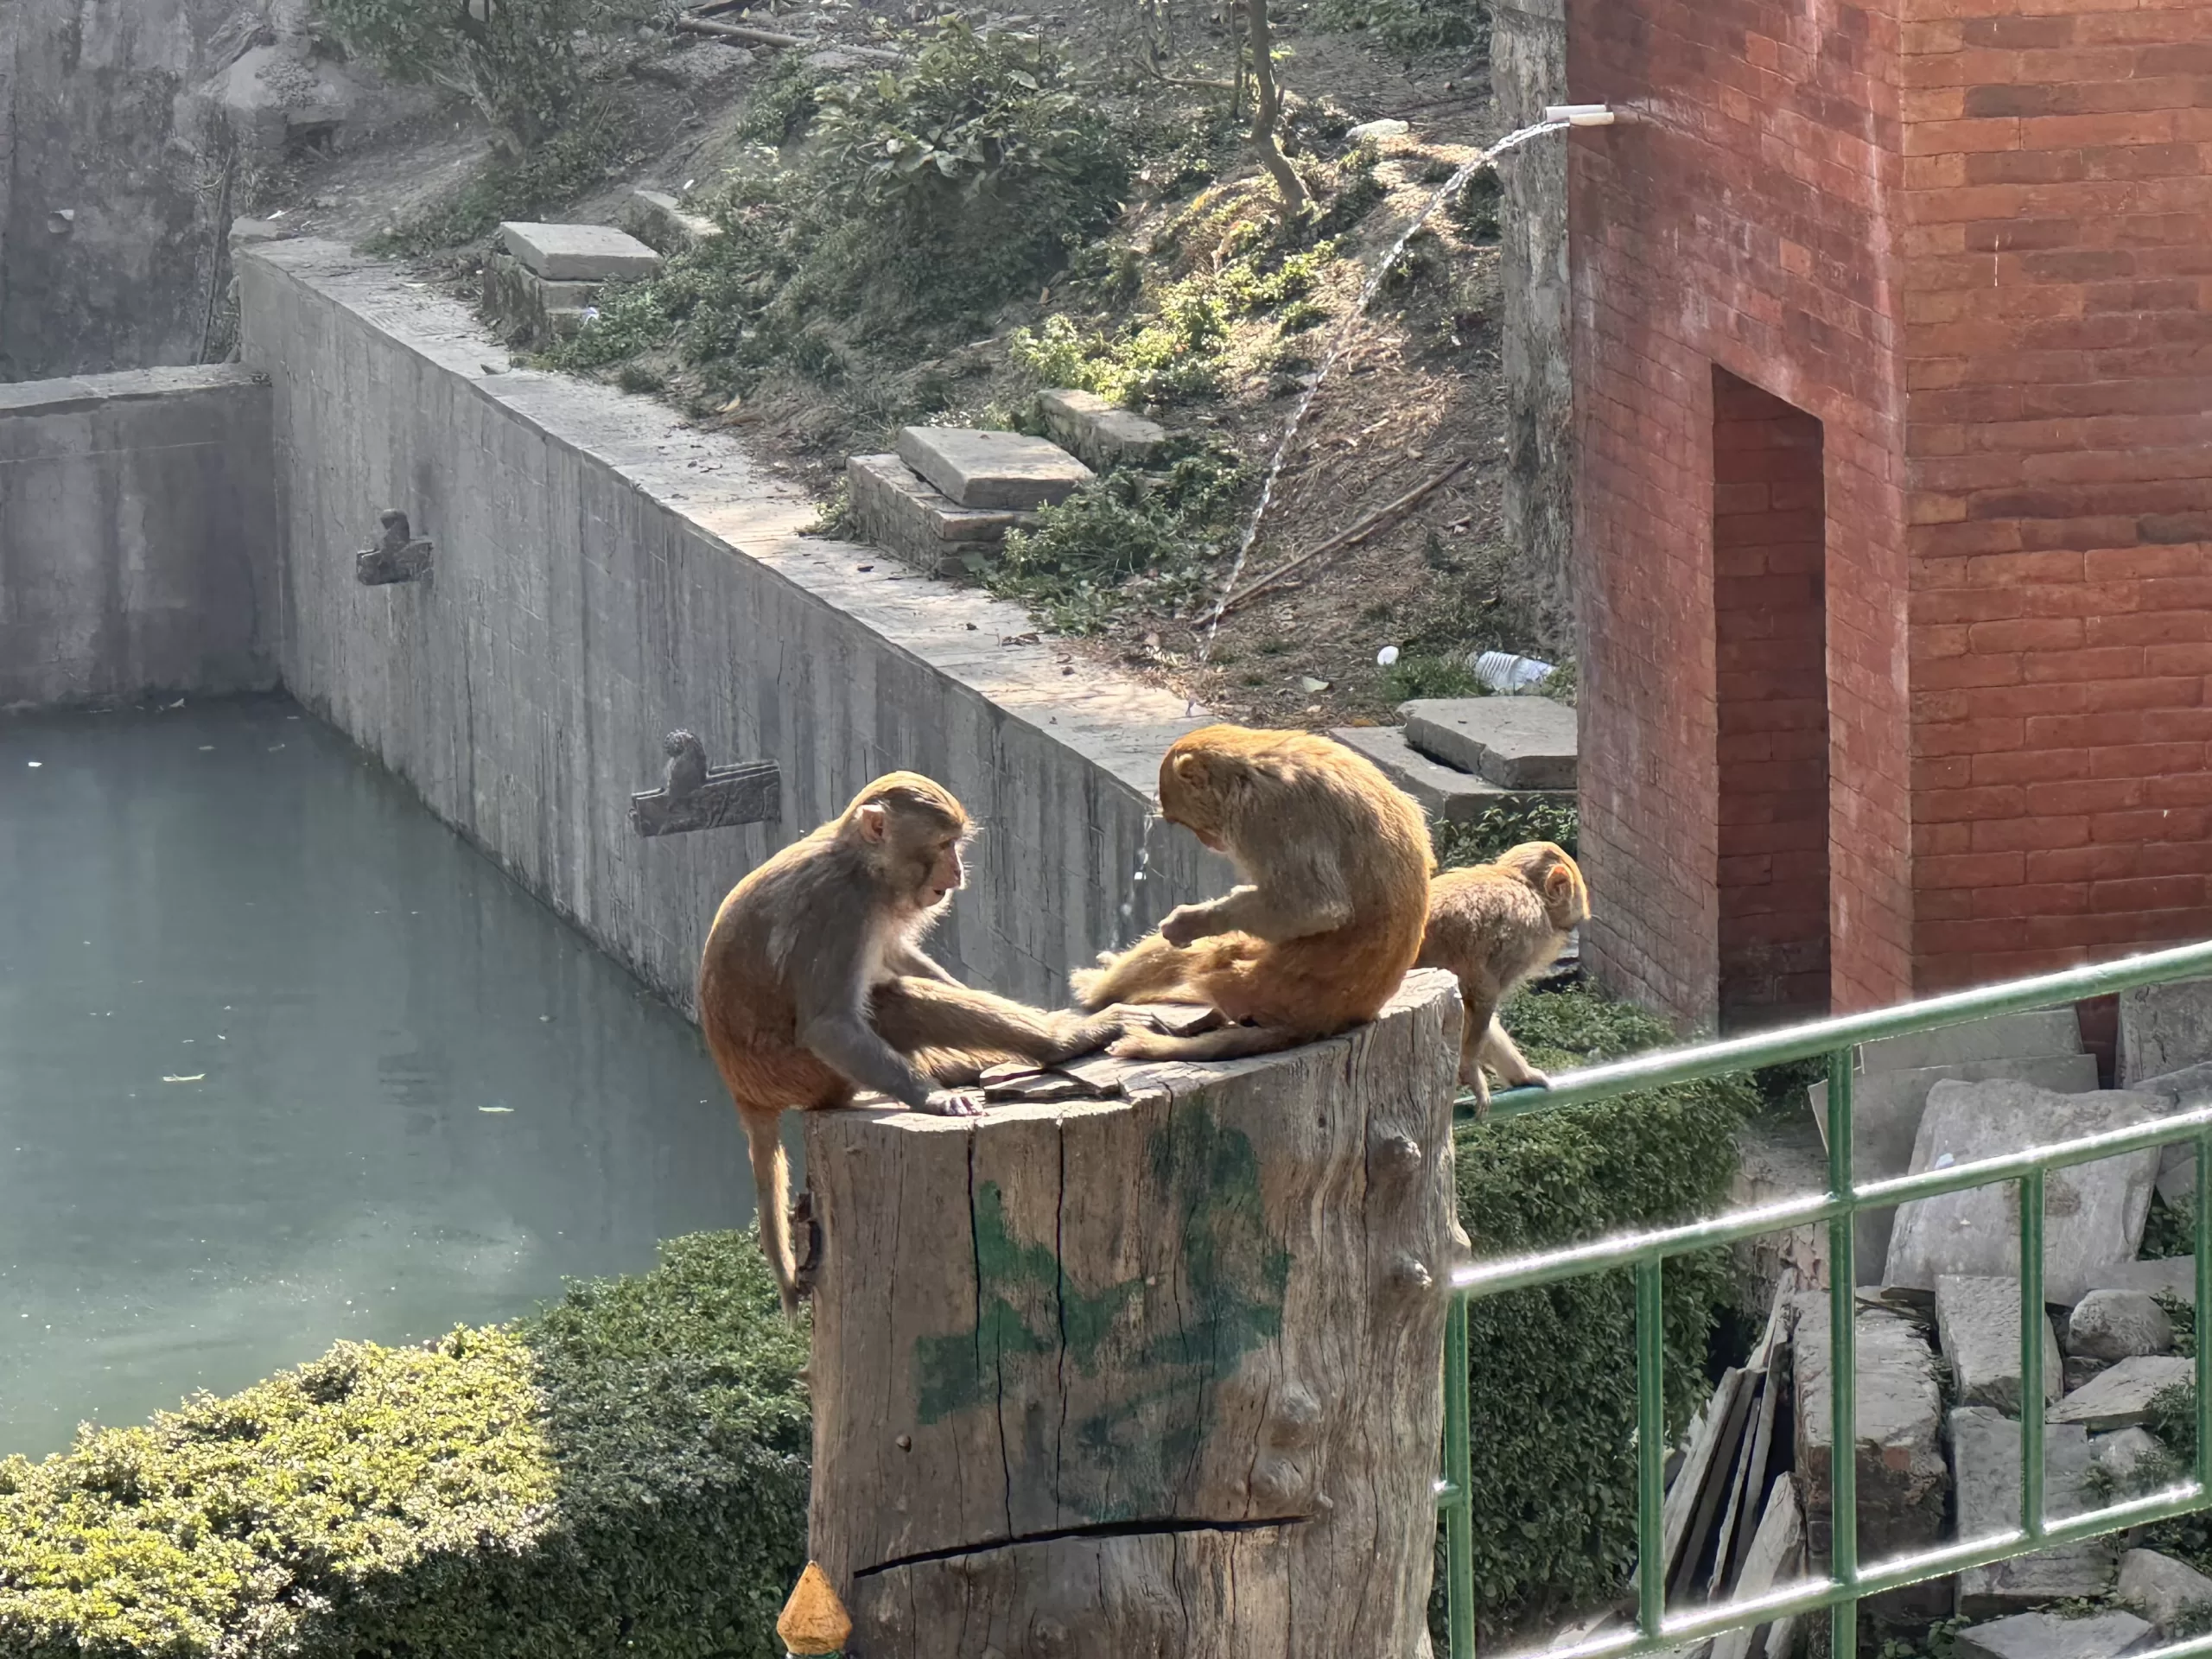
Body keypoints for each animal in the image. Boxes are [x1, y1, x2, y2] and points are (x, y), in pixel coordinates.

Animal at [698, 771, 1140, 1317]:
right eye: (944, 844)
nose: (958, 873)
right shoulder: (839, 910)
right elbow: (830, 1024)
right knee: (889, 1005)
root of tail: (743, 1091)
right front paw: (933, 1099)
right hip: (800, 1073)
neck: (862, 867)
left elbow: (899, 956)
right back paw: (1058, 1043)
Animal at [1069, 724, 1434, 1064]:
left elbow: (1315, 909)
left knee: (1211, 951)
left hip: (1249, 987)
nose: (1206, 841)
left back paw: (1097, 992)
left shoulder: (1267, 813)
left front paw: (1193, 921)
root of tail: (1324, 1022)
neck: (1248, 767)